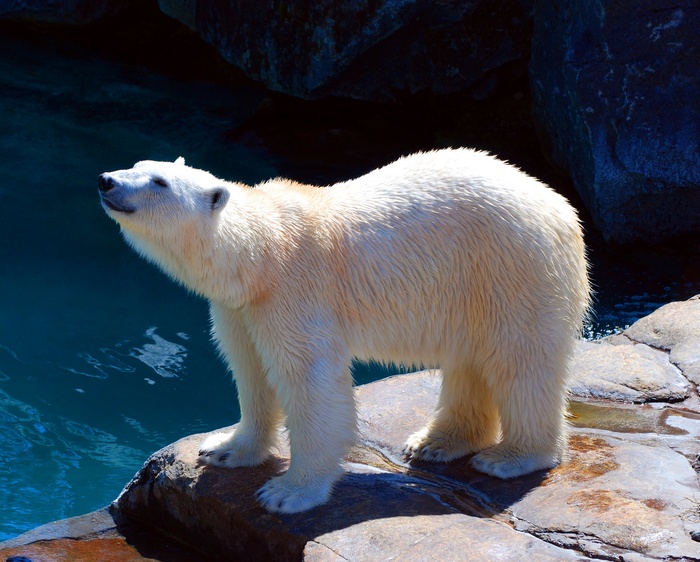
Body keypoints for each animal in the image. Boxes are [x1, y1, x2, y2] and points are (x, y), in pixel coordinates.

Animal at [98, 149, 590, 514]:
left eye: (159, 182)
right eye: (137, 165)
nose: (106, 180)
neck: (262, 253)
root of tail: (561, 208)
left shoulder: (295, 294)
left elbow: (310, 382)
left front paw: (288, 492)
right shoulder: (241, 308)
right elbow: (251, 370)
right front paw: (224, 449)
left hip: (513, 267)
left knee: (520, 360)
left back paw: (511, 457)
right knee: (470, 360)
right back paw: (435, 443)